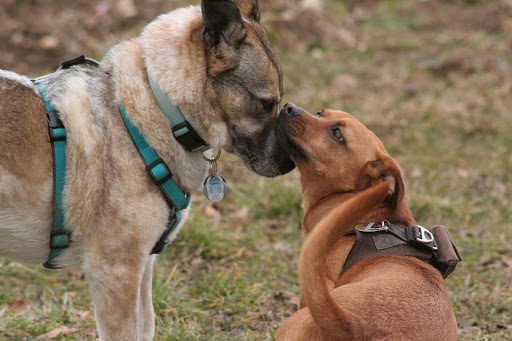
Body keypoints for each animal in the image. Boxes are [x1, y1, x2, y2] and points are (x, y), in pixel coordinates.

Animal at [0, 1, 294, 338]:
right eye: (266, 103)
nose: (291, 164)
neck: (149, 108)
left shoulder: (142, 267)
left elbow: (147, 326)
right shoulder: (116, 274)